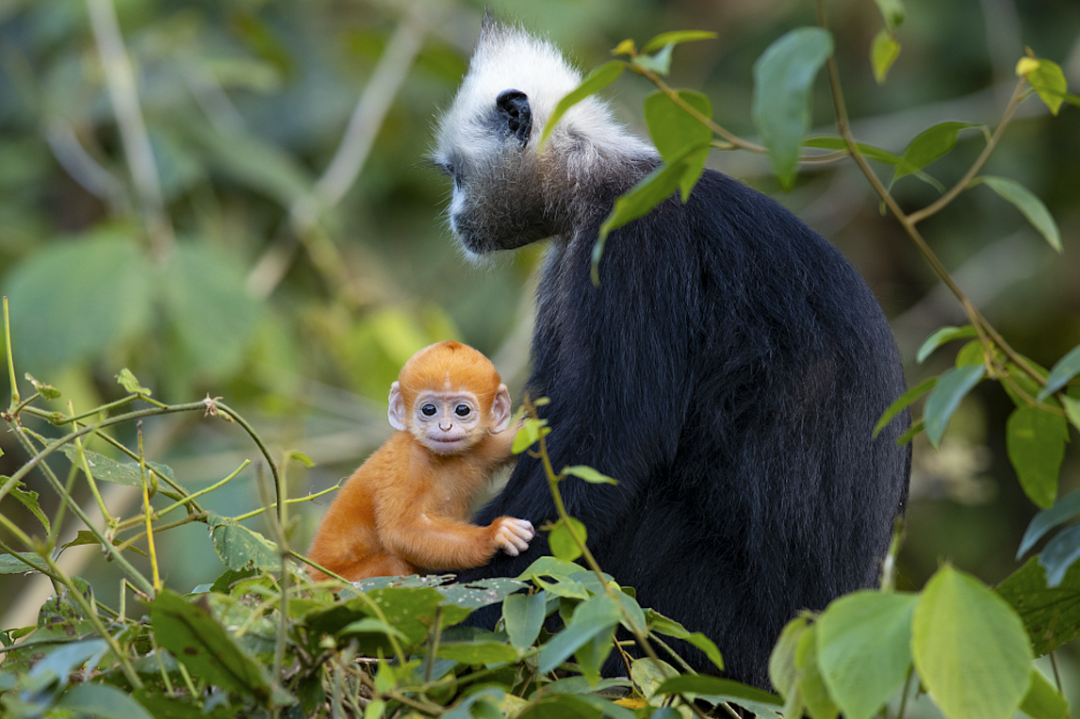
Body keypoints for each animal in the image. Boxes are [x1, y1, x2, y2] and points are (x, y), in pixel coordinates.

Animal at [306, 338, 533, 578]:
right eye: (429, 409)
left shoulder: (480, 449)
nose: (445, 427)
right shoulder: (406, 462)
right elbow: (401, 531)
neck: (441, 459)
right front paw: (494, 534)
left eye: (462, 410)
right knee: (394, 563)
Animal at [429, 18, 911, 690]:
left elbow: (609, 444)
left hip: (711, 618)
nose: (454, 215)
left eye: (454, 175)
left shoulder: (635, 244)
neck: (601, 176)